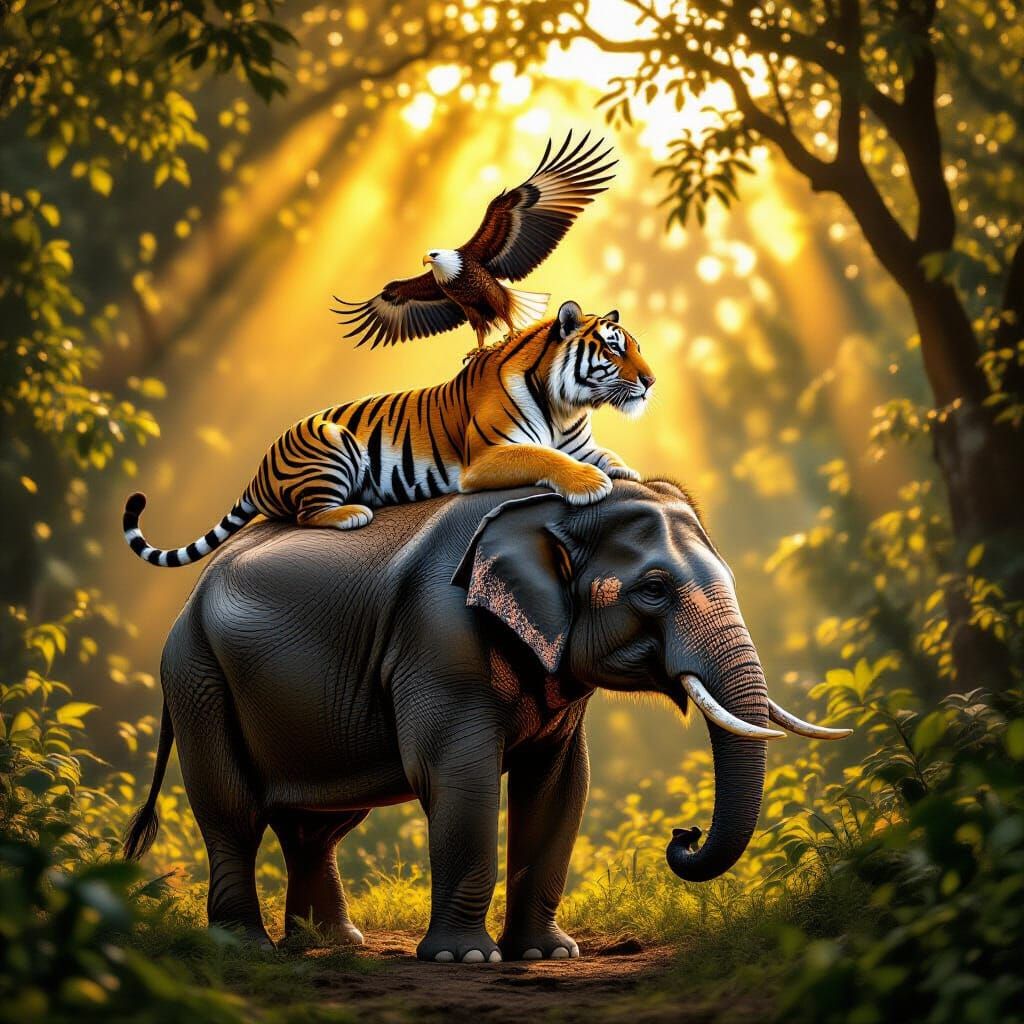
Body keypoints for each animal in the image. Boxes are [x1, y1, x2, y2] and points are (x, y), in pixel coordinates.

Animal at [123, 300, 656, 567]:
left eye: (636, 347)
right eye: (613, 348)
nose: (652, 382)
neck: (566, 407)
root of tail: (258, 469)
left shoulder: (581, 441)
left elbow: (606, 456)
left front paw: (628, 472)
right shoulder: (488, 456)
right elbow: (547, 458)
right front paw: (589, 484)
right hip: (330, 441)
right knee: (306, 514)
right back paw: (352, 513)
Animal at [124, 479, 849, 962]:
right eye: (652, 589)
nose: (683, 834)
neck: (551, 507)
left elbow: (559, 785)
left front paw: (546, 956)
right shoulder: (439, 635)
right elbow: (457, 773)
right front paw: (464, 960)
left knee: (318, 824)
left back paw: (328, 945)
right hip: (196, 674)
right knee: (233, 811)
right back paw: (247, 948)